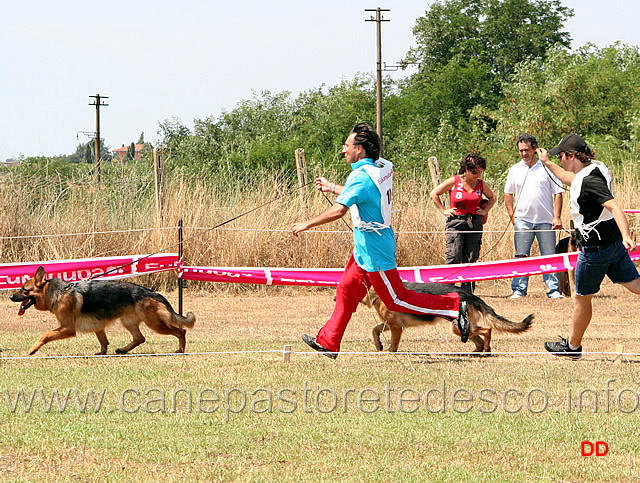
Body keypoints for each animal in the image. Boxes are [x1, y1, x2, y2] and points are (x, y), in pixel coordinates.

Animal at [10, 264, 195, 356]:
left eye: (24, 290)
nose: (11, 296)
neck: (59, 292)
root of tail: (152, 292)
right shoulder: (97, 326)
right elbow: (103, 341)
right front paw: (102, 352)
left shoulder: (67, 328)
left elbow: (45, 335)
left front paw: (33, 349)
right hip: (129, 321)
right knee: (140, 338)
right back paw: (123, 350)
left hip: (155, 323)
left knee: (181, 331)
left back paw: (180, 350)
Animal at [360, 282, 536, 354]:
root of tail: (470, 295)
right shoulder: (390, 324)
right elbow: (374, 330)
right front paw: (378, 344)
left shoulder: (396, 327)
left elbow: (393, 344)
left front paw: (389, 352)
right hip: (462, 328)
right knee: (478, 340)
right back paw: (476, 352)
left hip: (458, 327)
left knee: (487, 330)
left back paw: (486, 349)